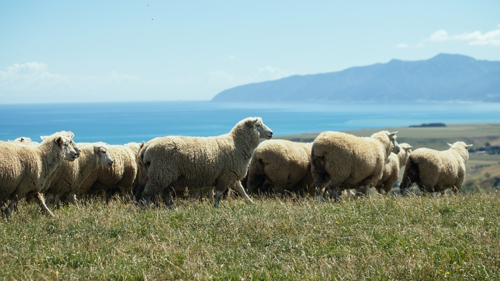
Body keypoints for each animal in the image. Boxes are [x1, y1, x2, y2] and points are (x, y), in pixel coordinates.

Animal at [138, 117, 274, 207]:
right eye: (258, 125)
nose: (271, 133)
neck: (237, 144)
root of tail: (147, 147)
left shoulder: (231, 176)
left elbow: (242, 190)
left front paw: (252, 203)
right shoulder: (226, 175)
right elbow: (219, 194)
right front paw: (216, 207)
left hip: (163, 175)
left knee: (164, 194)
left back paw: (172, 207)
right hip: (160, 173)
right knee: (147, 194)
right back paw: (145, 209)